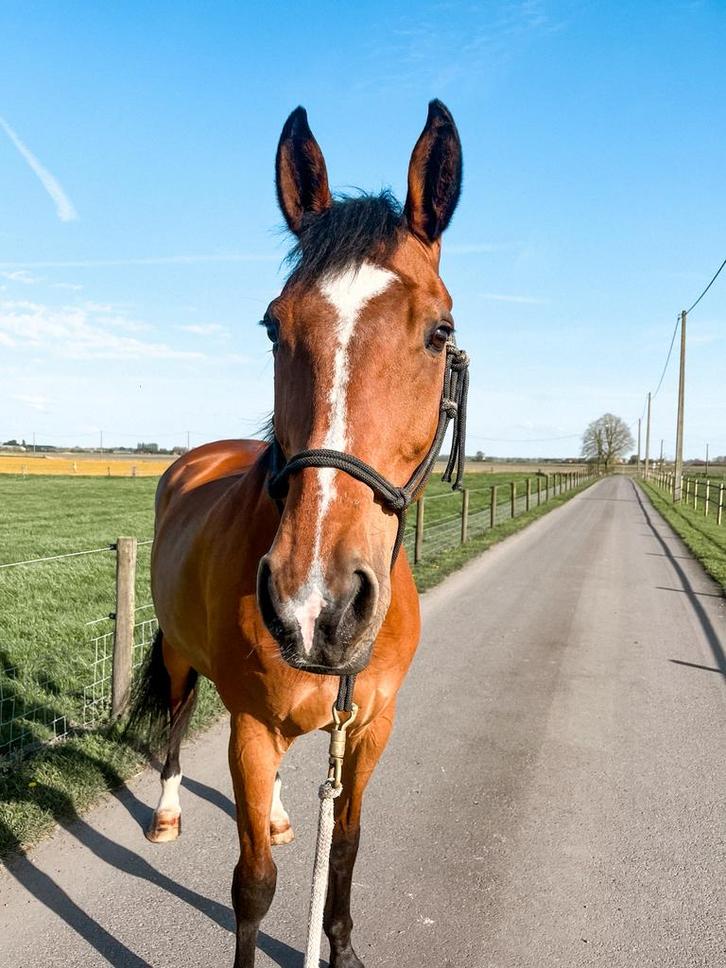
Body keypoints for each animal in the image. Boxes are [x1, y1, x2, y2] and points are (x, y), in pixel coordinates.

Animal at [131, 99, 464, 968]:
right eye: (272, 326)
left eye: (438, 332)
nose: (317, 604)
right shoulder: (248, 730)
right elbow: (253, 887)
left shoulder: (371, 728)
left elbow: (343, 849)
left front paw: (340, 946)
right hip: (181, 661)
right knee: (175, 721)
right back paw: (169, 810)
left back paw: (281, 814)